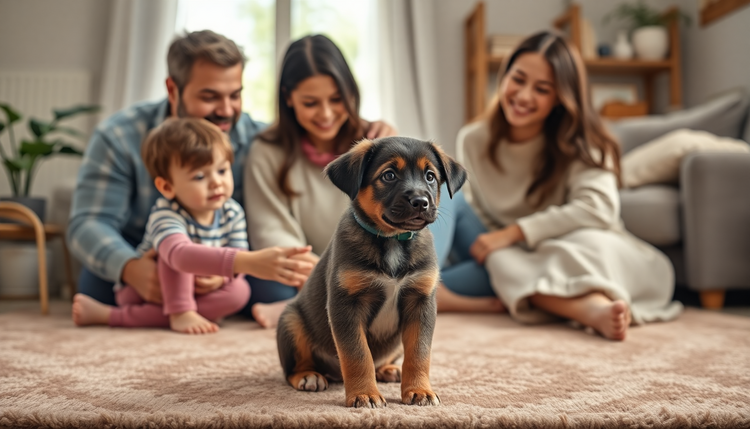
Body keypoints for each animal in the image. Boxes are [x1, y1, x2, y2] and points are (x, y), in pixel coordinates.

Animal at [276, 137, 464, 408]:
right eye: (389, 175)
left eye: (430, 176)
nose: (420, 202)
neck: (392, 239)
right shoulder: (345, 304)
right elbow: (357, 355)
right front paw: (364, 394)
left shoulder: (421, 302)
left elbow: (419, 353)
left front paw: (419, 390)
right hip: (291, 321)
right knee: (292, 368)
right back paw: (309, 376)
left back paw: (388, 370)